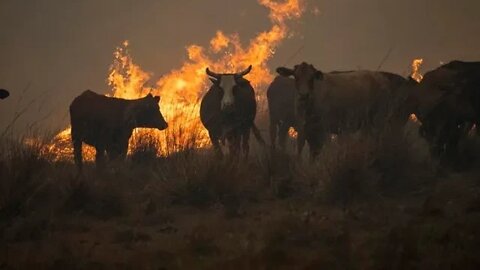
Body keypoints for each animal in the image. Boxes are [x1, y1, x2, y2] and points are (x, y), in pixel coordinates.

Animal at [276, 62, 406, 159]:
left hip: (379, 118)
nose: (303, 95)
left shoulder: (325, 128)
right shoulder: (304, 129)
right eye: (296, 77)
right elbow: (305, 151)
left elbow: (326, 151)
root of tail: (380, 77)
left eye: (311, 78)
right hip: (366, 124)